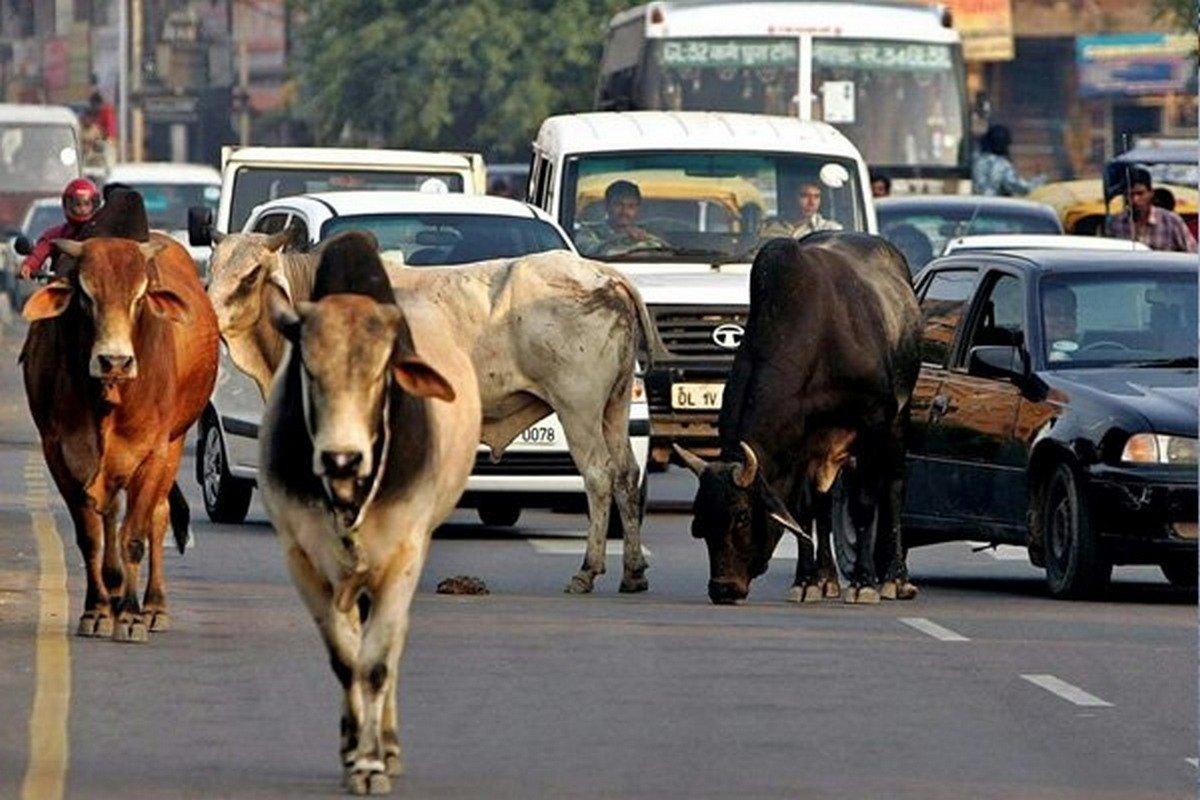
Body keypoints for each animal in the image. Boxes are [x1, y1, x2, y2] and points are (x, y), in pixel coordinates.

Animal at [22, 232, 220, 642]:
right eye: (85, 295)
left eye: (139, 296)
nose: (114, 361)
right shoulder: (59, 453)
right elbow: (91, 536)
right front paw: (97, 610)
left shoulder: (153, 452)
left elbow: (134, 537)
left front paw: (130, 616)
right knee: (111, 514)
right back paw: (113, 595)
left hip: (173, 445)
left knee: (157, 518)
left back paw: (153, 606)